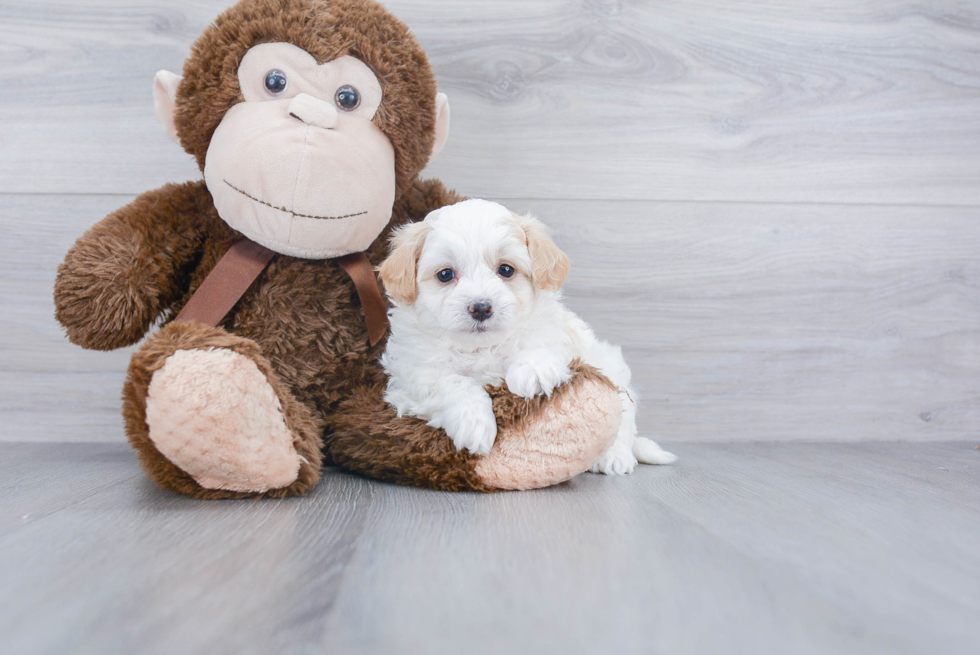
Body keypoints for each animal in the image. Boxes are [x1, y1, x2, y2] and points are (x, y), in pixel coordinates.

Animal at [378, 197, 676, 474]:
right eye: (445, 274)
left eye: (506, 269)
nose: (481, 307)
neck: (481, 348)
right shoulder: (412, 376)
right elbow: (450, 382)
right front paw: (473, 422)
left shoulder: (558, 337)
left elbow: (536, 341)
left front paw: (534, 371)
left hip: (612, 368)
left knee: (624, 419)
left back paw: (615, 456)